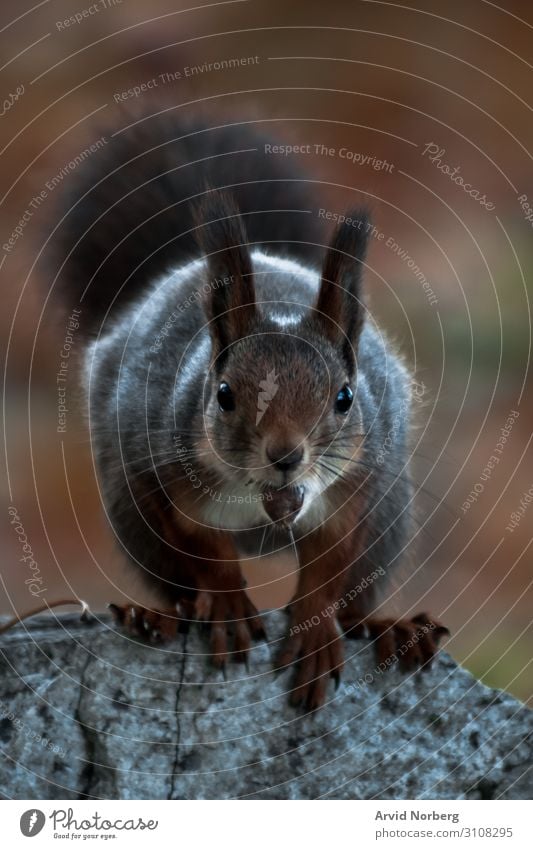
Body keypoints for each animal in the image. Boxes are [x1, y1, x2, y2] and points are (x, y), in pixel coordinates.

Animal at [45, 112, 446, 708]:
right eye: (224, 393)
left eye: (345, 397)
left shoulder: (357, 491)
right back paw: (155, 618)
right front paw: (231, 607)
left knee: (357, 602)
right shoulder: (161, 471)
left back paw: (387, 628)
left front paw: (313, 633)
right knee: (179, 588)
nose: (285, 457)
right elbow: (204, 547)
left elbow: (329, 567)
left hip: (389, 522)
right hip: (131, 517)